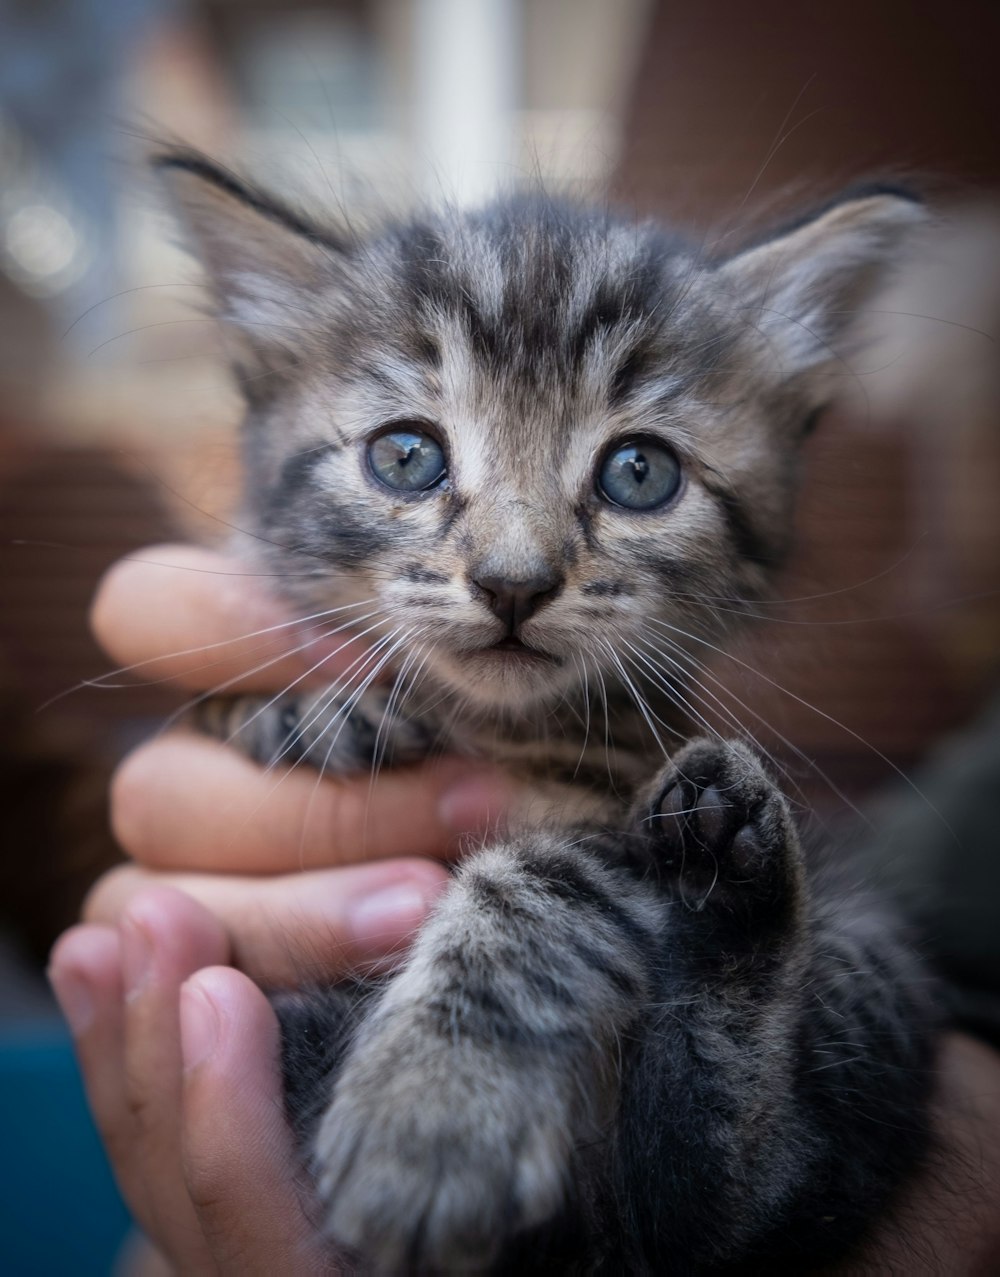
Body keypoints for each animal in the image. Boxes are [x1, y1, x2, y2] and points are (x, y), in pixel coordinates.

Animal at [160, 154, 945, 1271]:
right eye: (407, 456)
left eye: (639, 471)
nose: (513, 583)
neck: (491, 722)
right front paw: (297, 705)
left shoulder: (611, 799)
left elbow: (527, 887)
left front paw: (435, 1113)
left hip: (868, 944)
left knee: (723, 1205)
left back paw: (729, 861)